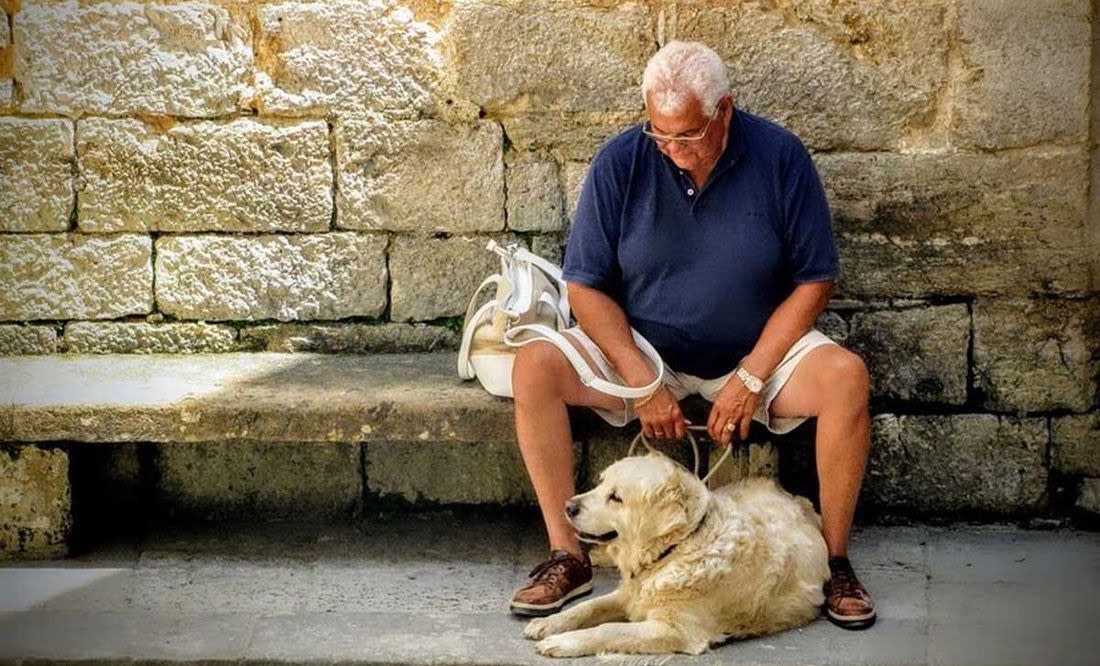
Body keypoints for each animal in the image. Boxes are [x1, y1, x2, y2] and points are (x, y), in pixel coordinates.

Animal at [523, 451, 827, 656]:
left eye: (616, 497)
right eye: (600, 484)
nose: (568, 506)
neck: (676, 549)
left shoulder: (675, 630)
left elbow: (608, 629)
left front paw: (563, 642)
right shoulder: (629, 594)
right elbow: (587, 606)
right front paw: (548, 623)